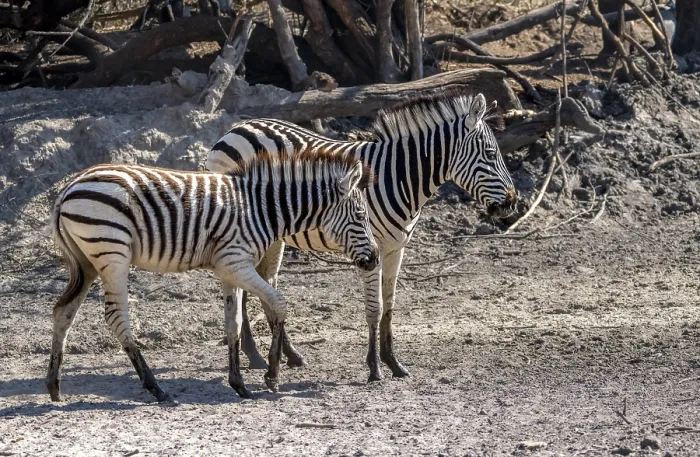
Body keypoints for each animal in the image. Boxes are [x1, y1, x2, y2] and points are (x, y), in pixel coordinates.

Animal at [47, 152, 379, 402]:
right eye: (361, 217)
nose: (375, 258)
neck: (261, 209)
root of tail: (69, 186)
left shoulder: (229, 269)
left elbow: (233, 324)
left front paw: (239, 383)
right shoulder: (236, 263)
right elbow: (278, 304)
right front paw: (272, 375)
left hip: (88, 262)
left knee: (63, 312)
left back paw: (54, 387)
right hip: (112, 254)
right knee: (116, 318)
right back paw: (156, 388)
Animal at [206, 92, 517, 382]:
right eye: (491, 154)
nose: (513, 204)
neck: (399, 177)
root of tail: (238, 127)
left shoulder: (395, 249)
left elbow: (389, 305)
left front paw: (394, 363)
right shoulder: (371, 249)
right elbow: (374, 308)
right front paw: (375, 367)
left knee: (263, 282)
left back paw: (288, 355)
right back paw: (256, 355)